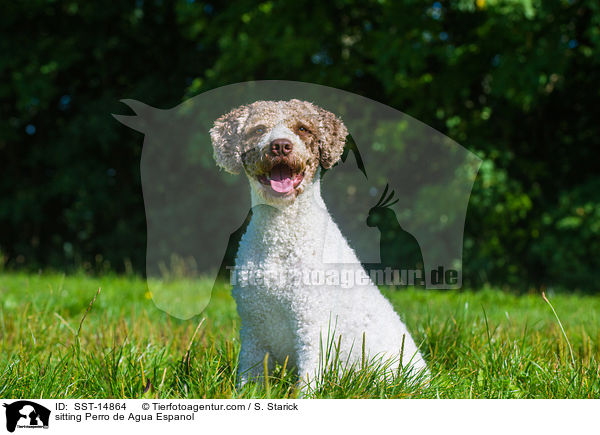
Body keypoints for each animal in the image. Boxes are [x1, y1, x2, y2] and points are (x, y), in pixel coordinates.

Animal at [211, 99, 426, 388]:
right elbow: (249, 378)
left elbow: (310, 378)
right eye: (258, 129)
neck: (281, 237)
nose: (280, 146)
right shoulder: (253, 328)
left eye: (303, 128)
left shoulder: (312, 323)